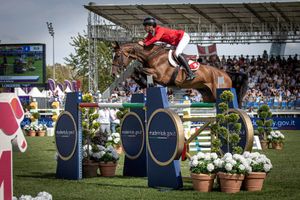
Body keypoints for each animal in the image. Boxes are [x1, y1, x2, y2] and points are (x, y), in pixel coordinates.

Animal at [111, 42, 247, 106]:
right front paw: (141, 81)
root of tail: (226, 74)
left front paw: (143, 81)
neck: (152, 55)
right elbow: (137, 70)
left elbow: (140, 69)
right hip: (208, 95)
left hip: (219, 90)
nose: (113, 73)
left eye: (117, 56)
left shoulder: (161, 76)